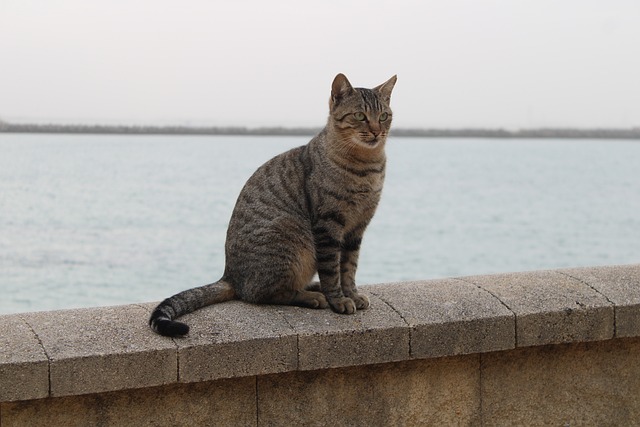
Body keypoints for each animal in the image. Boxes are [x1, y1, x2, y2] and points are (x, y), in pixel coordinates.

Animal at [149, 73, 396, 338]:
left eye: (384, 116)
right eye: (360, 116)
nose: (377, 131)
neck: (367, 167)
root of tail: (230, 276)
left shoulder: (356, 229)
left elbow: (349, 267)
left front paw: (351, 293)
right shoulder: (328, 225)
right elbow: (332, 270)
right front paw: (338, 300)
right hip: (290, 237)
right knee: (264, 294)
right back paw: (312, 296)